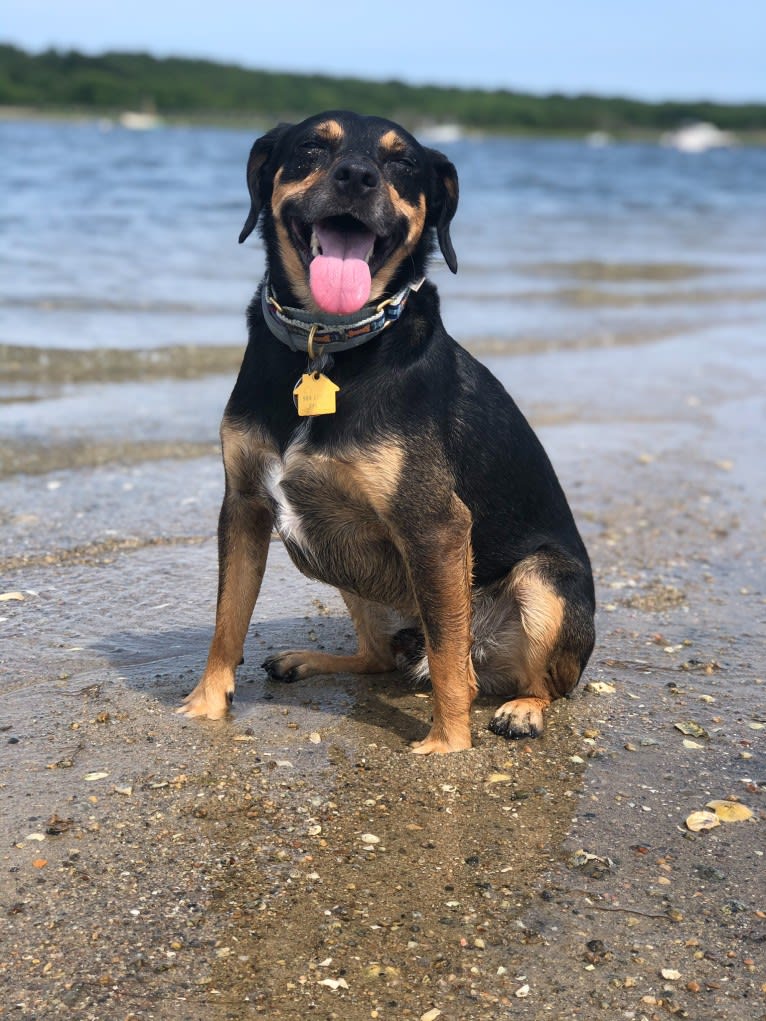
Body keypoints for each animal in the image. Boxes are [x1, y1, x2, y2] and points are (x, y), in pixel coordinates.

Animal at [176, 111, 596, 755]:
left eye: (403, 164)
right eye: (311, 147)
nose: (356, 176)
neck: (327, 342)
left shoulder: (434, 525)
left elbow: (449, 658)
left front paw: (447, 746)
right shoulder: (244, 504)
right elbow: (228, 619)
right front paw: (205, 704)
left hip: (544, 583)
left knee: (518, 676)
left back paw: (523, 708)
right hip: (348, 570)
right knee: (380, 657)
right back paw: (312, 661)